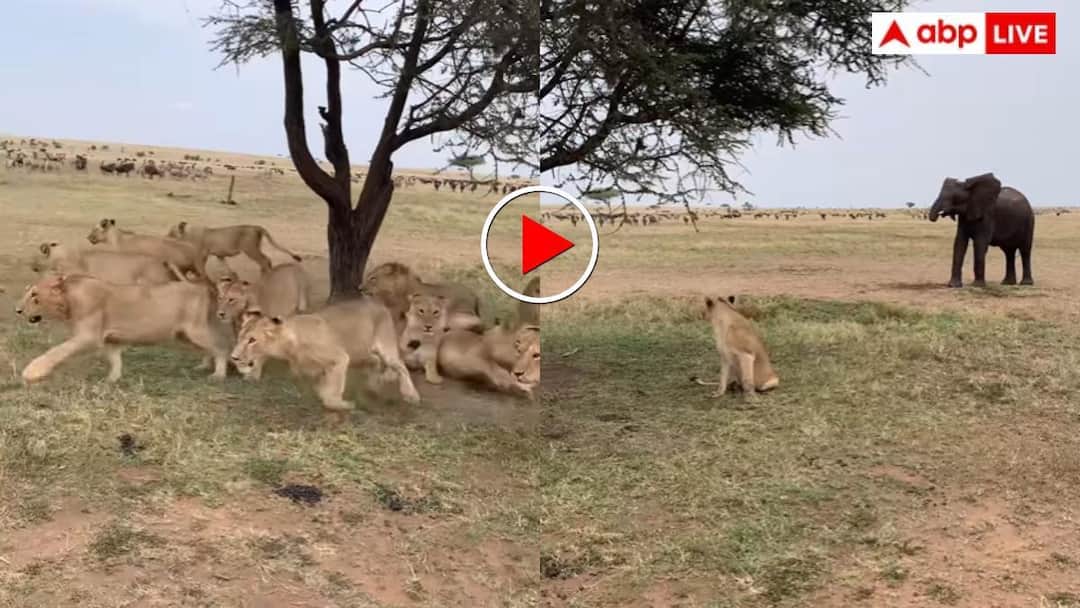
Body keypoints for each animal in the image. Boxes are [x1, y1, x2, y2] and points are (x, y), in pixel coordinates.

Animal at [15, 273, 230, 385]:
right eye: (28, 293)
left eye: (34, 295)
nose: (18, 310)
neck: (68, 300)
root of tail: (202, 287)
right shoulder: (112, 339)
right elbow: (115, 359)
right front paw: (112, 379)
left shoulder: (88, 337)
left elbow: (57, 351)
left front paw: (32, 371)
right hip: (185, 335)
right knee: (209, 348)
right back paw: (203, 366)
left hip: (195, 330)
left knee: (220, 347)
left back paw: (218, 374)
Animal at [167, 222, 302, 274]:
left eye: (171, 232)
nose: (165, 236)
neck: (187, 234)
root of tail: (256, 227)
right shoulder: (220, 255)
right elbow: (227, 268)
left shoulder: (202, 255)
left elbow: (201, 269)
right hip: (255, 248)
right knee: (267, 259)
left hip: (250, 249)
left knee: (264, 260)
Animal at [230, 297, 420, 417]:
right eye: (239, 337)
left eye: (252, 340)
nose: (234, 357)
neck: (289, 346)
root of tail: (379, 304)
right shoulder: (319, 369)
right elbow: (323, 389)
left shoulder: (340, 358)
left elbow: (330, 395)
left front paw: (343, 405)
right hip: (359, 354)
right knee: (375, 361)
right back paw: (373, 386)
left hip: (383, 347)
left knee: (400, 365)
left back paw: (410, 394)